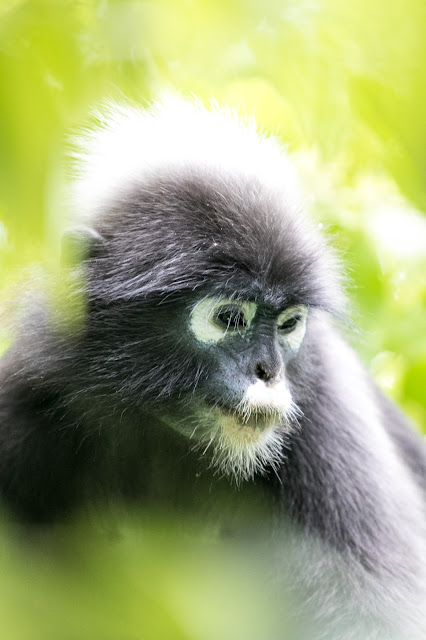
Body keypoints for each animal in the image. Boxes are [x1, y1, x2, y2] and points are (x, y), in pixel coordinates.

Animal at [0, 97, 424, 636]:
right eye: (229, 318)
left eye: (288, 324)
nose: (268, 370)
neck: (162, 433)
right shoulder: (23, 405)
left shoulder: (327, 405)